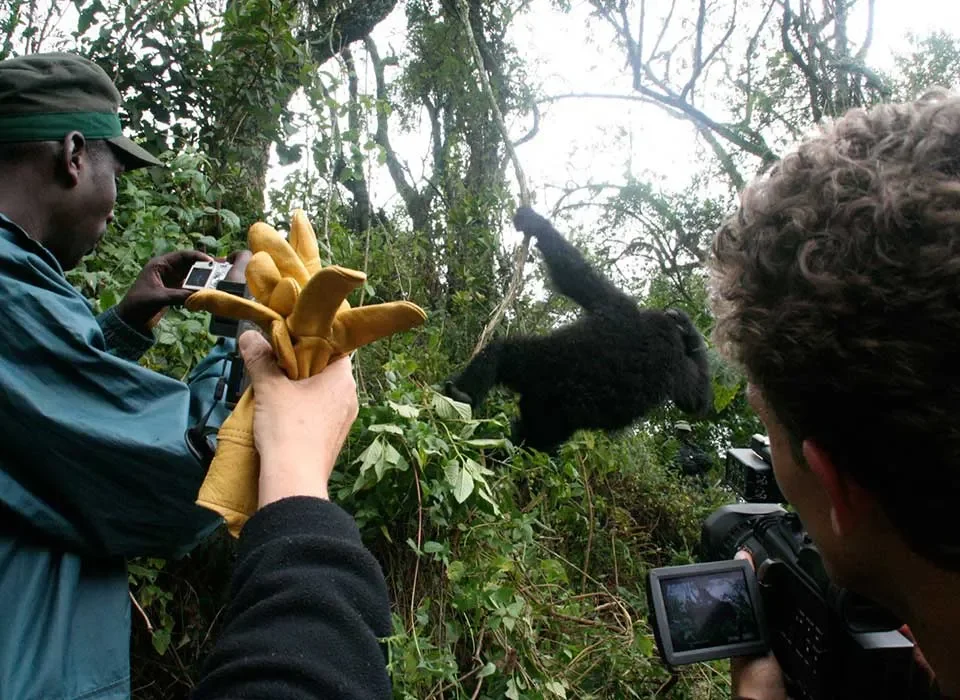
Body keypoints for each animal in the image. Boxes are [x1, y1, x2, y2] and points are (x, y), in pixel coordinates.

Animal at [444, 206, 713, 454]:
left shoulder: (619, 306)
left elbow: (573, 274)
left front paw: (535, 222)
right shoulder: (675, 364)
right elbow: (695, 399)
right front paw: (687, 327)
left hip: (536, 372)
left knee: (502, 353)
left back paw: (461, 395)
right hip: (551, 420)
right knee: (533, 440)